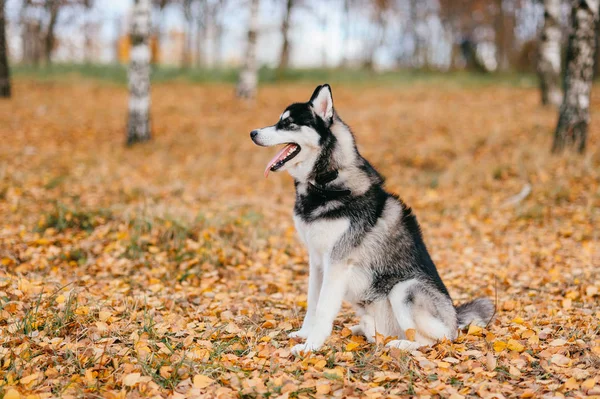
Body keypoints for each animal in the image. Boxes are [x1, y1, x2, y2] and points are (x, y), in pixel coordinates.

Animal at [248, 85, 492, 356]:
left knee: (433, 340)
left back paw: (401, 344)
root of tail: (455, 320)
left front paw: (311, 345)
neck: (326, 182)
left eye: (288, 124)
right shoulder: (317, 260)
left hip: (404, 289)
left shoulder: (337, 262)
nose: (253, 133)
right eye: (279, 120)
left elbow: (323, 308)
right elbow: (312, 302)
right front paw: (304, 334)